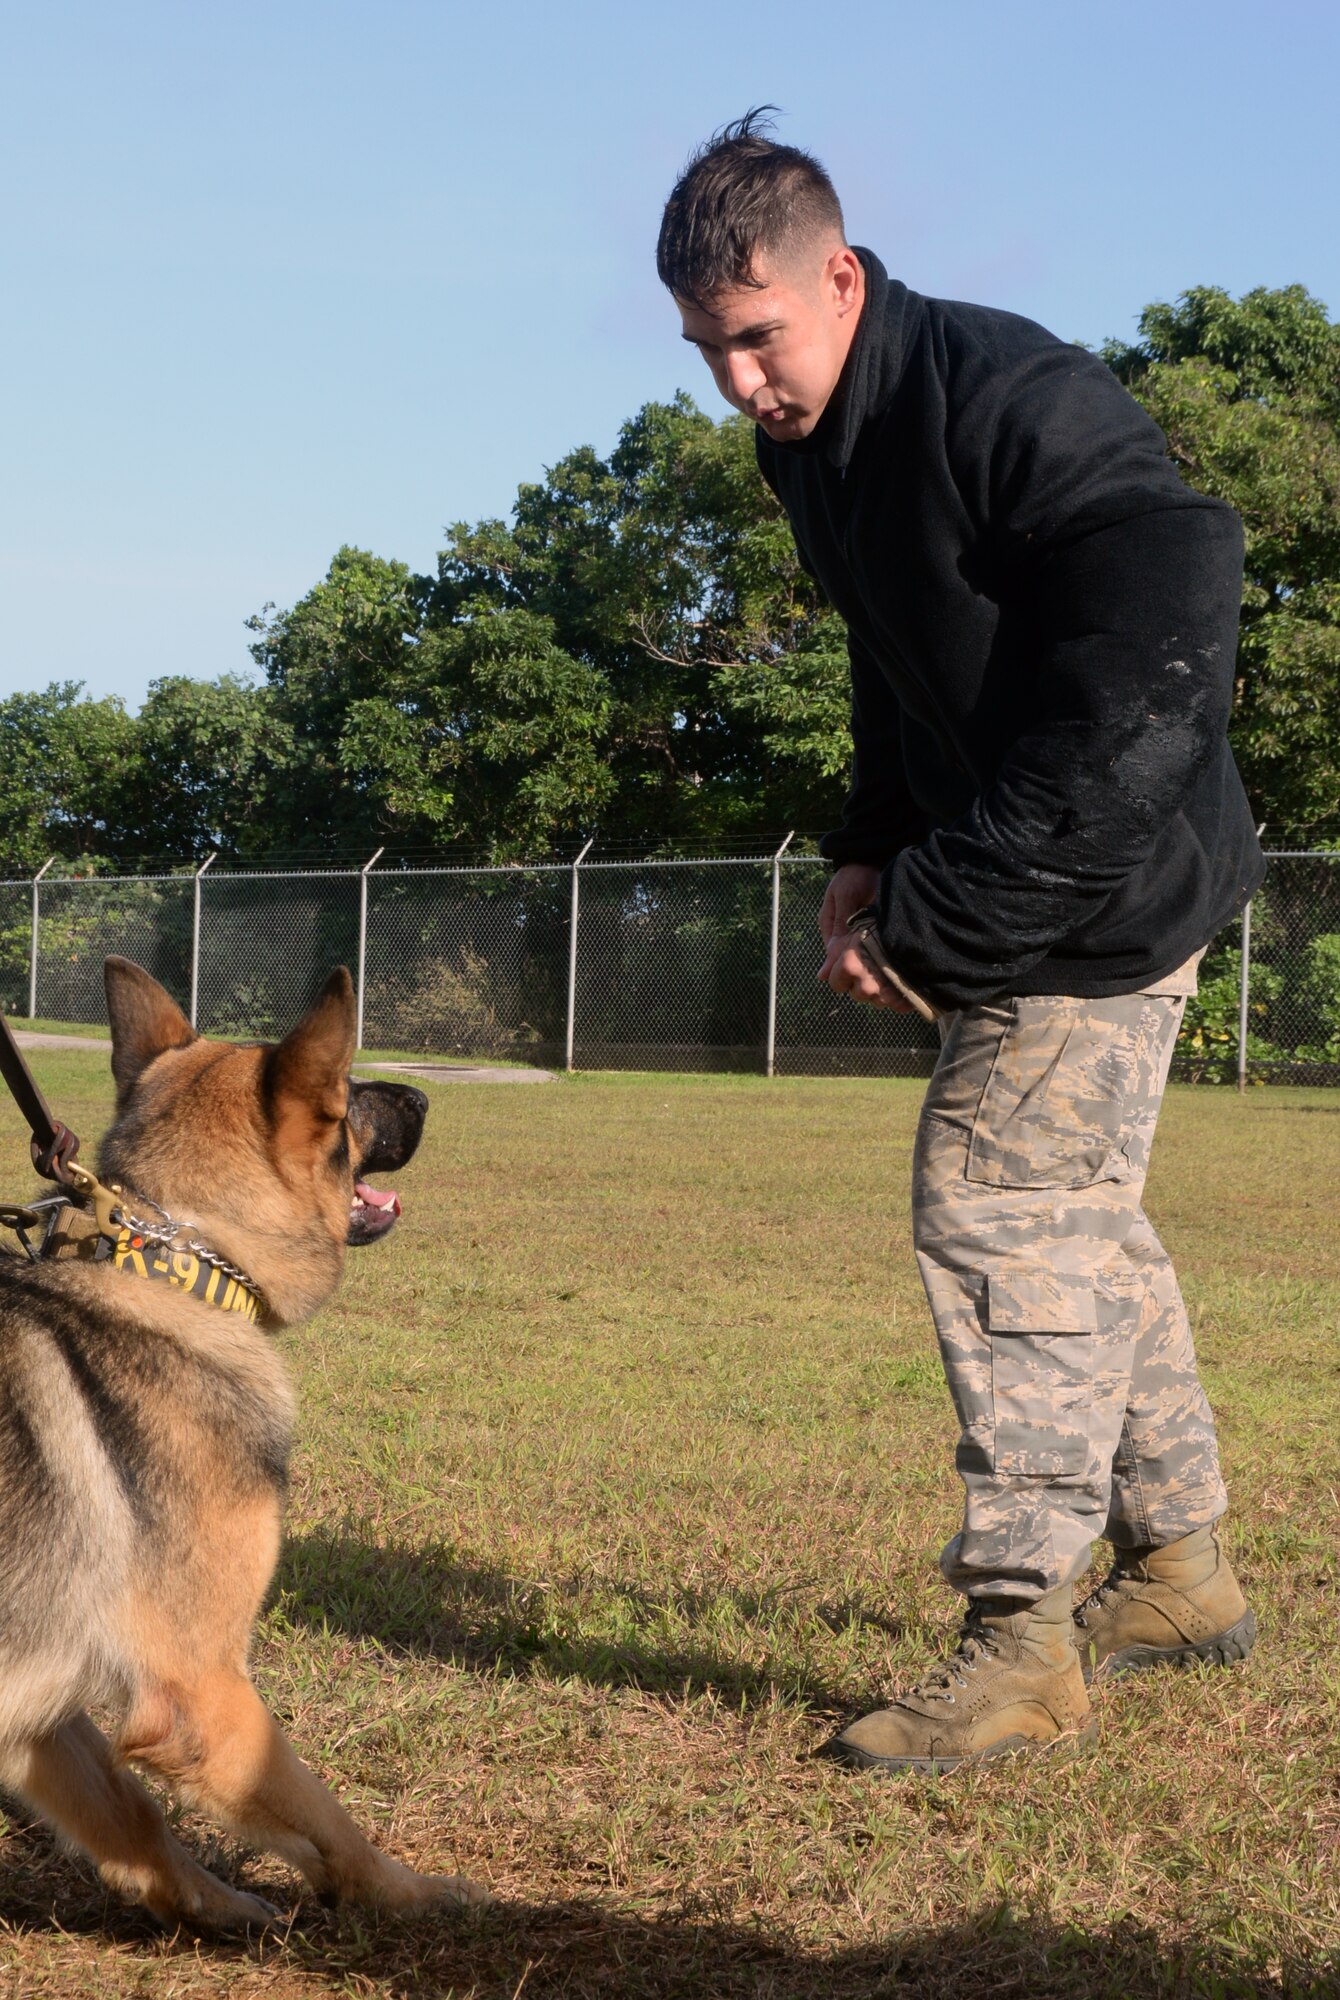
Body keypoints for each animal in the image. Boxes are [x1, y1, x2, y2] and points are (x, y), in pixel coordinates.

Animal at [0, 960, 494, 1928]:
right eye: (347, 1096)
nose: (422, 1092)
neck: (178, 1262)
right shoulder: (202, 1691)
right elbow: (322, 1813)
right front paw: (405, 1892)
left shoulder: (40, 1704)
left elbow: (129, 1809)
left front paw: (207, 1904)